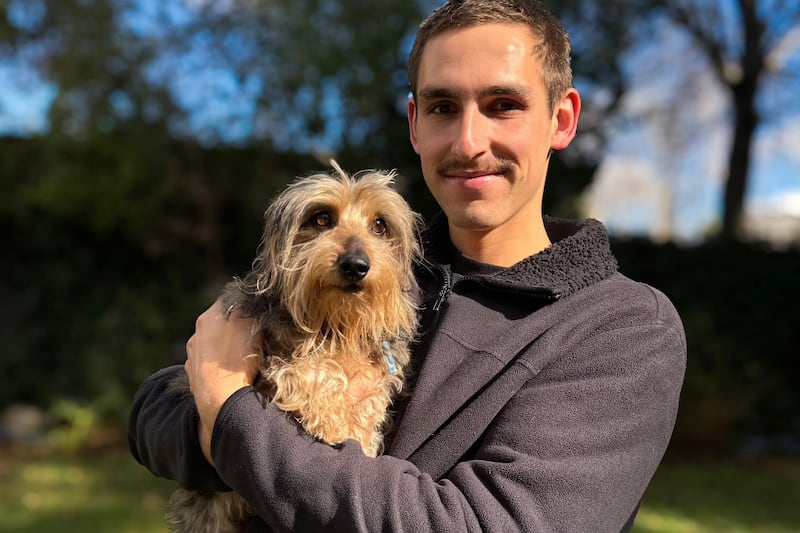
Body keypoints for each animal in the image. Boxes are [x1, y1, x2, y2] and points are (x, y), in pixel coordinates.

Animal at [166, 162, 422, 532]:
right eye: (321, 218)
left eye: (379, 225)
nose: (355, 265)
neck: (336, 324)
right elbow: (312, 369)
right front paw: (332, 422)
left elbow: (369, 402)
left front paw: (359, 434)